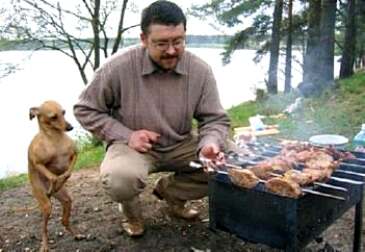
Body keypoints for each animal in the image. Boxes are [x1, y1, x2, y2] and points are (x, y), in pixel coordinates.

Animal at [28, 101, 83, 252]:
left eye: (63, 112)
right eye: (53, 117)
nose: (70, 127)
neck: (55, 140)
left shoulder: (75, 155)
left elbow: (68, 173)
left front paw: (62, 180)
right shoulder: (38, 163)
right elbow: (53, 176)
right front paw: (56, 182)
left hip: (66, 200)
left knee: (64, 221)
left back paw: (76, 234)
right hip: (46, 205)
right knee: (44, 228)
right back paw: (45, 245)